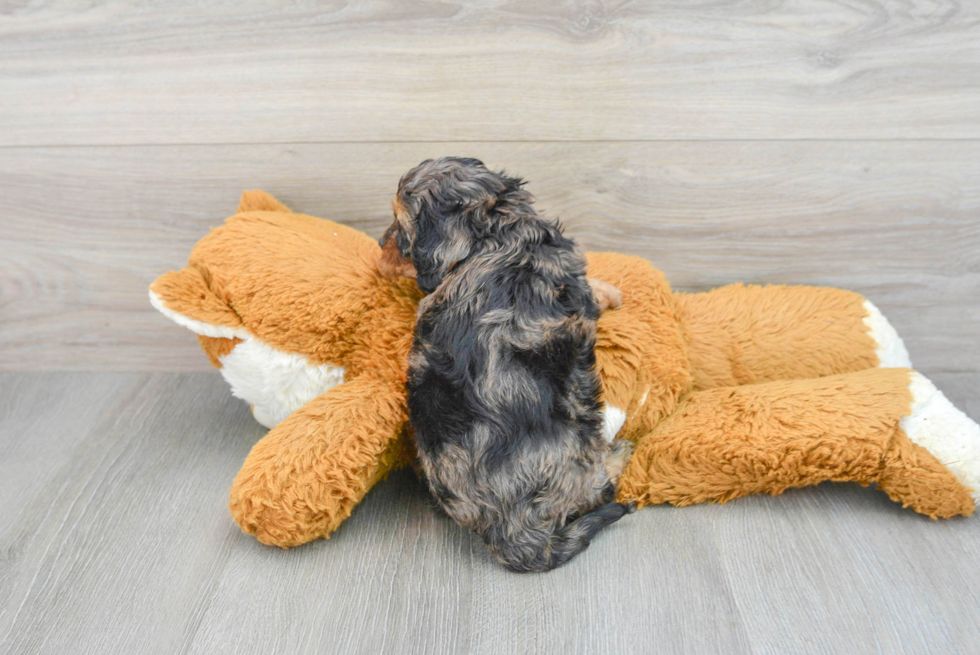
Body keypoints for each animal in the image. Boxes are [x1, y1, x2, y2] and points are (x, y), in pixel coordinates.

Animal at [378, 159, 632, 576]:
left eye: (399, 229)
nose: (378, 245)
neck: (496, 234)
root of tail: (506, 531)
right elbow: (593, 290)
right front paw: (611, 291)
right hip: (581, 437)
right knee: (597, 489)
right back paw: (619, 454)